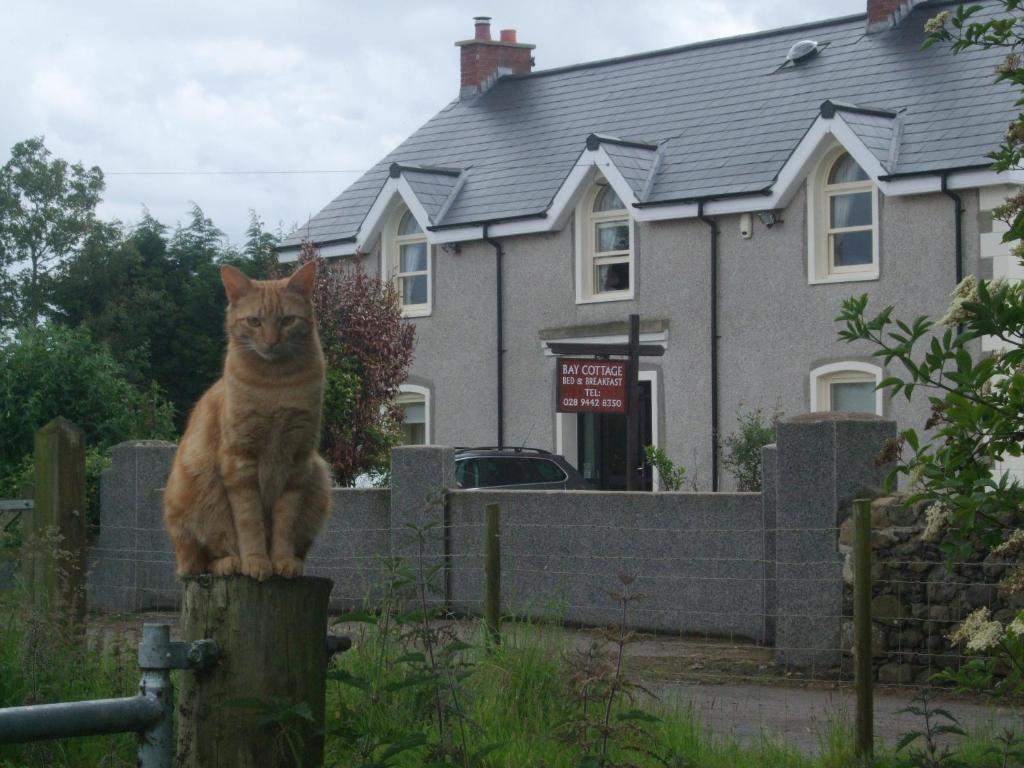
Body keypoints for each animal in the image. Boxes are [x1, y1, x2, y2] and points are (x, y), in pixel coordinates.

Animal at [163, 262, 329, 581]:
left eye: (287, 320)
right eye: (254, 321)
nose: (271, 342)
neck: (275, 384)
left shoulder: (298, 461)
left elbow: (285, 522)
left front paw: (281, 560)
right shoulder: (240, 461)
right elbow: (249, 522)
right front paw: (256, 561)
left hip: (319, 478)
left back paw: (295, 561)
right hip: (196, 489)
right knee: (199, 563)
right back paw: (231, 563)